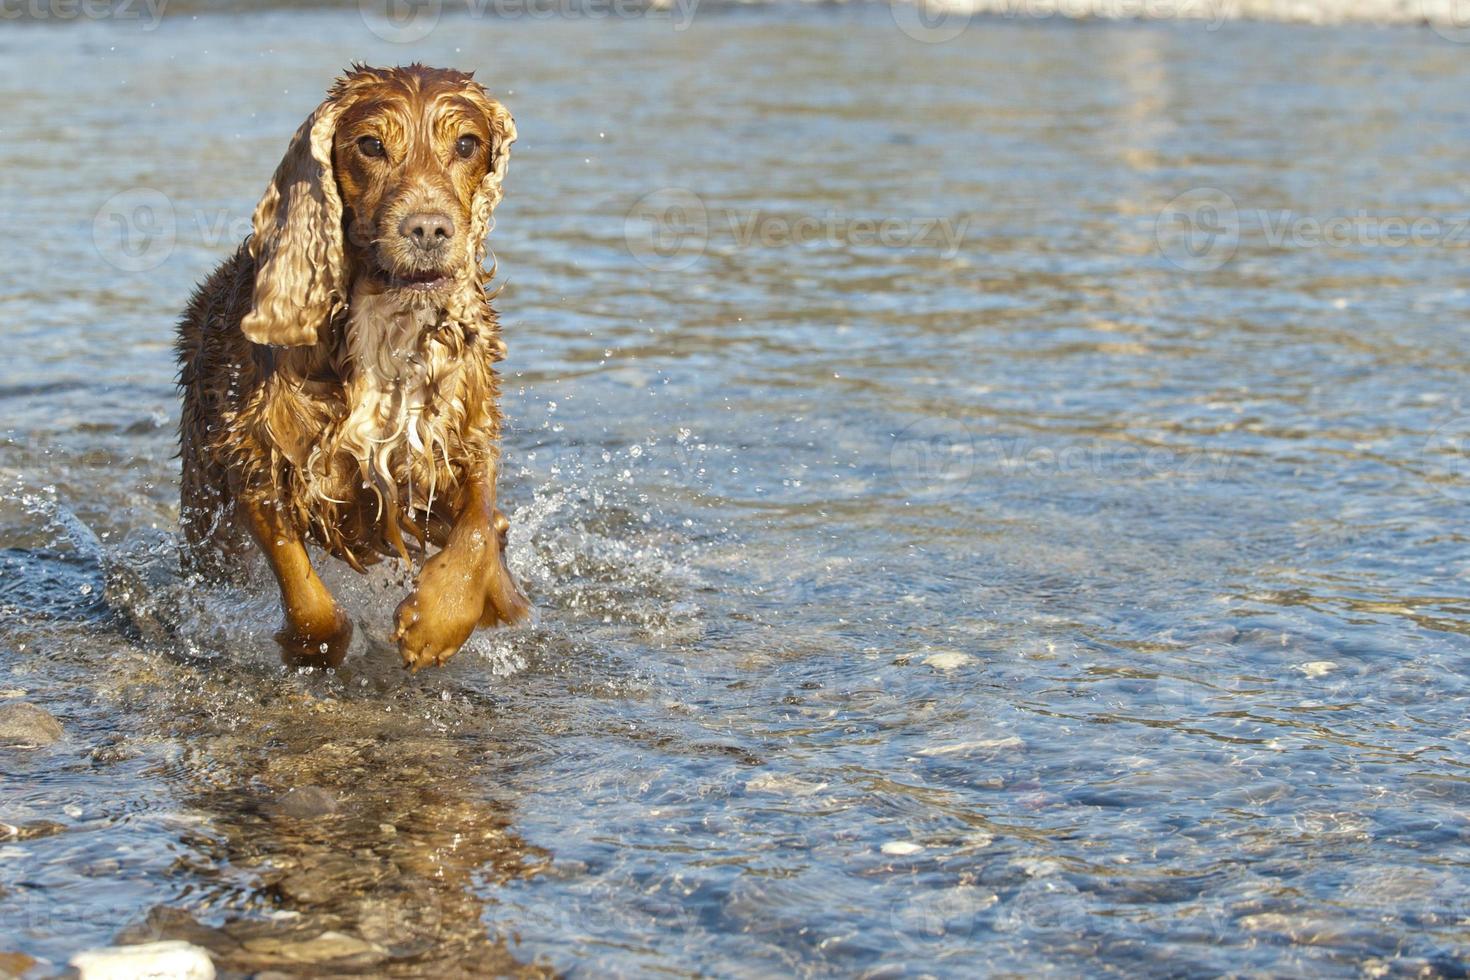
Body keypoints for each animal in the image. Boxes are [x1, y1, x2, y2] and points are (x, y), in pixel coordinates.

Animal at [174, 65, 529, 669]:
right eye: (370, 145)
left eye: (466, 144)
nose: (428, 229)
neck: (387, 325)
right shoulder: (257, 458)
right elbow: (312, 602)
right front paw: (312, 647)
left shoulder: (461, 435)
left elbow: (482, 523)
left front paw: (439, 620)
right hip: (204, 501)